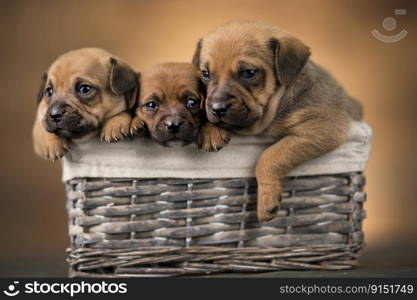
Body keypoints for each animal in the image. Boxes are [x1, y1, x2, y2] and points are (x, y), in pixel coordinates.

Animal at [193, 20, 362, 220]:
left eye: (249, 73)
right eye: (205, 74)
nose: (217, 108)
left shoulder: (322, 127)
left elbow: (270, 156)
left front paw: (266, 200)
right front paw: (211, 131)